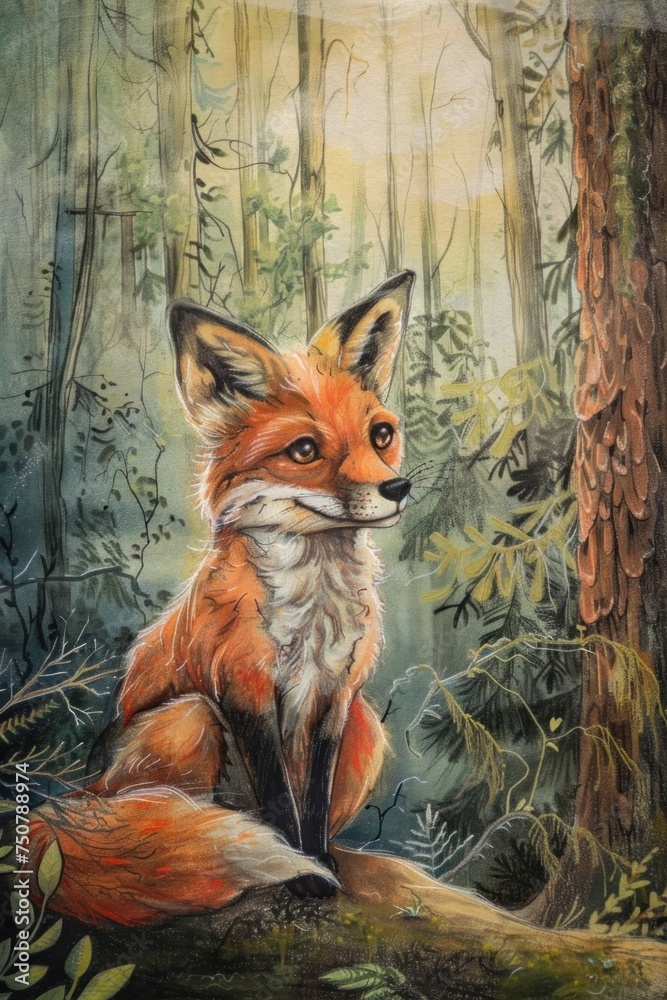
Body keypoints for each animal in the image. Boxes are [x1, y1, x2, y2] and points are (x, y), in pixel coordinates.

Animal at [28, 270, 416, 927]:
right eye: (305, 451)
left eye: (380, 435)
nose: (398, 488)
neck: (313, 618)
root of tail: (85, 794)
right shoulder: (242, 684)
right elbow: (279, 800)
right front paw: (302, 875)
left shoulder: (338, 695)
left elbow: (311, 799)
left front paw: (318, 862)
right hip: (191, 717)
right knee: (188, 813)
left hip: (367, 730)